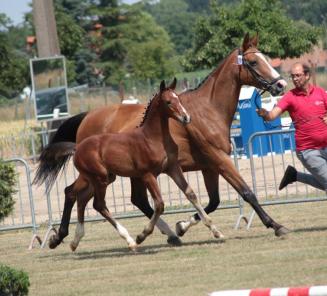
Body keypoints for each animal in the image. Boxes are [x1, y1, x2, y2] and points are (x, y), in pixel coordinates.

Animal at [61, 78, 222, 250]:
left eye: (178, 98)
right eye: (168, 102)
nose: (186, 118)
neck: (153, 138)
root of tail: (77, 148)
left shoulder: (173, 168)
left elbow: (190, 194)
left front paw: (215, 230)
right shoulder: (148, 175)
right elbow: (159, 204)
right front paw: (142, 236)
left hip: (103, 178)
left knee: (82, 198)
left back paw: (75, 240)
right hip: (100, 179)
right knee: (99, 204)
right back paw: (130, 240)